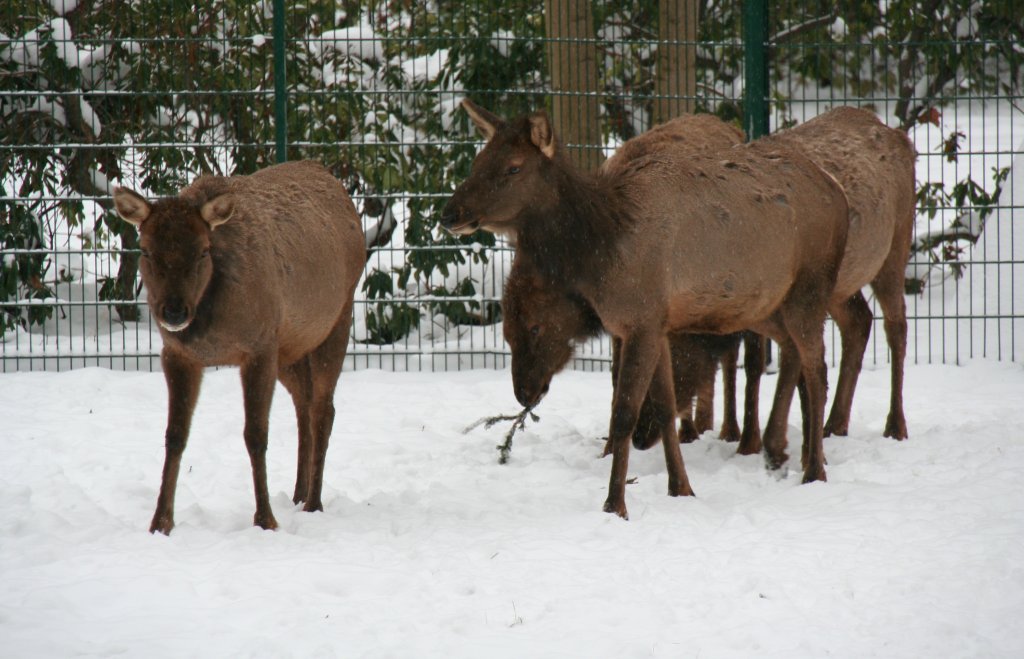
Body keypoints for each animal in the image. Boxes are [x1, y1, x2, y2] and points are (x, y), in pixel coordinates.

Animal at [112, 160, 366, 536]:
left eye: (203, 250)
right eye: (145, 250)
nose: (173, 312)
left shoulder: (259, 346)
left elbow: (256, 435)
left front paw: (265, 520)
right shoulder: (178, 354)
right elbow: (174, 435)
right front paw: (160, 522)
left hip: (338, 316)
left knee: (323, 408)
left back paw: (313, 503)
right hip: (290, 347)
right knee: (304, 404)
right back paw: (297, 493)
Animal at [444, 99, 851, 519]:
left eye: (513, 167)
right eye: (478, 160)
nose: (449, 213)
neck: (603, 249)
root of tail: (838, 194)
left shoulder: (641, 319)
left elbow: (624, 414)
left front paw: (615, 505)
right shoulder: (658, 323)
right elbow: (665, 405)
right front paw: (681, 488)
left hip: (811, 287)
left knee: (818, 370)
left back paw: (814, 470)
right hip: (768, 305)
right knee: (795, 357)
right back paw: (785, 454)